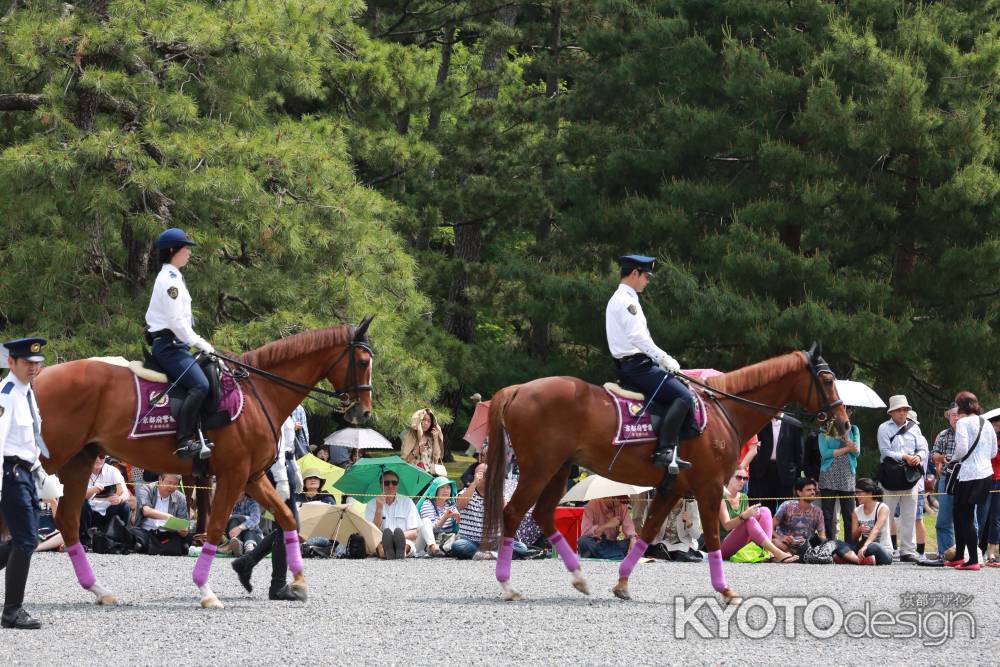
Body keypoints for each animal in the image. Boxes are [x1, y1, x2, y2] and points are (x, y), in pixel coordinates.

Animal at [34, 320, 376, 608]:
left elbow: (287, 518)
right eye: (362, 362)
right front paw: (206, 591)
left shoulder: (251, 477)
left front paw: (297, 582)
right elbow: (213, 528)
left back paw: (98, 590)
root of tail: (40, 377)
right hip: (51, 458)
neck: (258, 394)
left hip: (79, 460)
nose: (363, 412)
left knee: (67, 521)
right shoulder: (233, 475)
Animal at [480, 348, 848, 604]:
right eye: (828, 380)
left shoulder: (672, 489)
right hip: (537, 470)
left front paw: (622, 584)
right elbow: (713, 540)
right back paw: (508, 585)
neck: (722, 411)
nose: (843, 423)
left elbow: (647, 533)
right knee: (513, 513)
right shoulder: (709, 489)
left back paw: (579, 578)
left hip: (557, 470)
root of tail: (519, 389)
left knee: (543, 515)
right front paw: (725, 589)